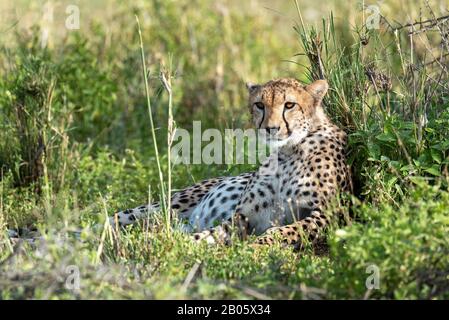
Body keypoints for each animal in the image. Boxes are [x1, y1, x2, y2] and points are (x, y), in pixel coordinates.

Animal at [108, 79, 350, 249]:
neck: (287, 151)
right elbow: (209, 234)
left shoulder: (329, 214)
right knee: (119, 217)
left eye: (290, 105)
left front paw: (256, 247)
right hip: (168, 206)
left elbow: (286, 230)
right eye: (259, 105)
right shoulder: (241, 217)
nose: (270, 128)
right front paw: (168, 244)